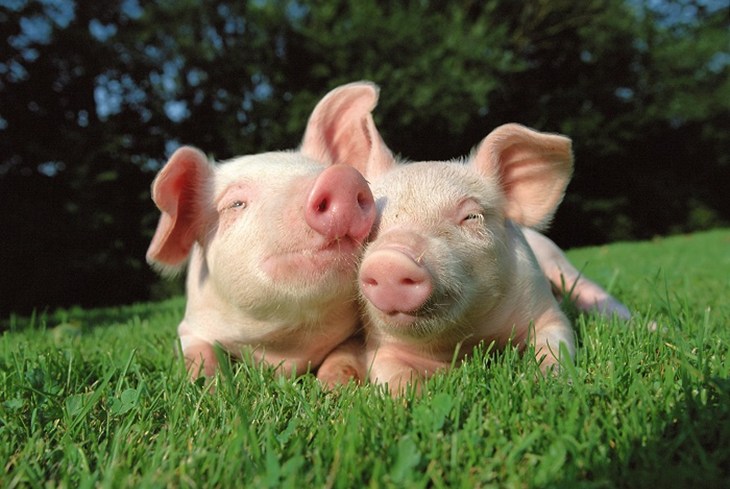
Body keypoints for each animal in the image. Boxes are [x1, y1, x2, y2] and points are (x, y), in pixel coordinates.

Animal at [146, 82, 383, 379]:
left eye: (323, 170)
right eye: (236, 204)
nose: (342, 178)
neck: (282, 349)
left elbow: (343, 355)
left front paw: (333, 385)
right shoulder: (189, 326)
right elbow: (198, 354)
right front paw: (207, 385)